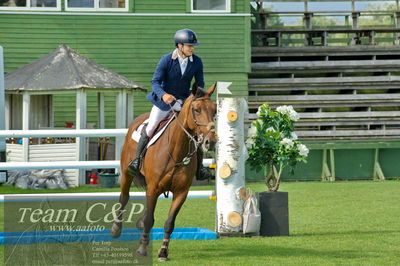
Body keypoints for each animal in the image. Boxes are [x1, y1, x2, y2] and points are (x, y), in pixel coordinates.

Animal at [110, 83, 216, 262]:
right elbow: (149, 221)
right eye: (196, 110)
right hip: (127, 173)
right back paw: (116, 228)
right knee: (124, 197)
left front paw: (163, 252)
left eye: (215, 110)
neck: (176, 151)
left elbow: (169, 223)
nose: (211, 142)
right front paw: (142, 249)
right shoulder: (153, 189)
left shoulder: (181, 193)